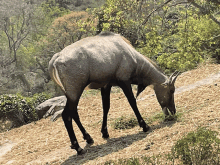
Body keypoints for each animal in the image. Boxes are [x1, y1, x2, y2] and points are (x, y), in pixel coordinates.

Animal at [48, 31, 179, 155]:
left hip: (71, 94)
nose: (173, 112)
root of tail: (57, 57)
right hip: (75, 91)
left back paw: (88, 138)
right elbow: (132, 102)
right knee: (66, 115)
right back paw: (78, 148)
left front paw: (105, 132)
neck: (130, 54)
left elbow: (106, 107)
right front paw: (144, 126)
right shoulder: (124, 81)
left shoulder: (106, 85)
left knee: (74, 113)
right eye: (171, 90)